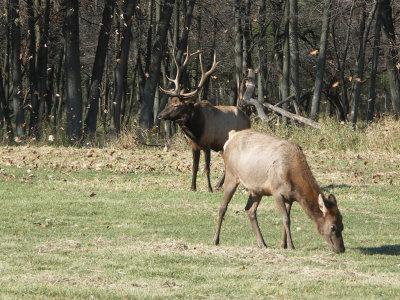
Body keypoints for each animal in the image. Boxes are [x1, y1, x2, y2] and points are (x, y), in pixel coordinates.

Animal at [157, 48, 248, 191]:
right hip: (223, 147)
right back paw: (219, 185)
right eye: (170, 102)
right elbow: (194, 167)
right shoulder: (194, 146)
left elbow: (206, 168)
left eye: (176, 105)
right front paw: (193, 187)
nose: (160, 115)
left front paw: (209, 188)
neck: (196, 130)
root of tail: (249, 120)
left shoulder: (207, 144)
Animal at [214, 129, 346, 253]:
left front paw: (283, 245)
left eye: (342, 224)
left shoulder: (290, 197)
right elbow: (286, 219)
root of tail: (230, 138)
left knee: (249, 209)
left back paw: (262, 243)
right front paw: (291, 246)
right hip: (231, 175)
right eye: (333, 227)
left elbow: (286, 219)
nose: (341, 249)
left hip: (256, 189)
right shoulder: (276, 191)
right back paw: (216, 240)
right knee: (223, 206)